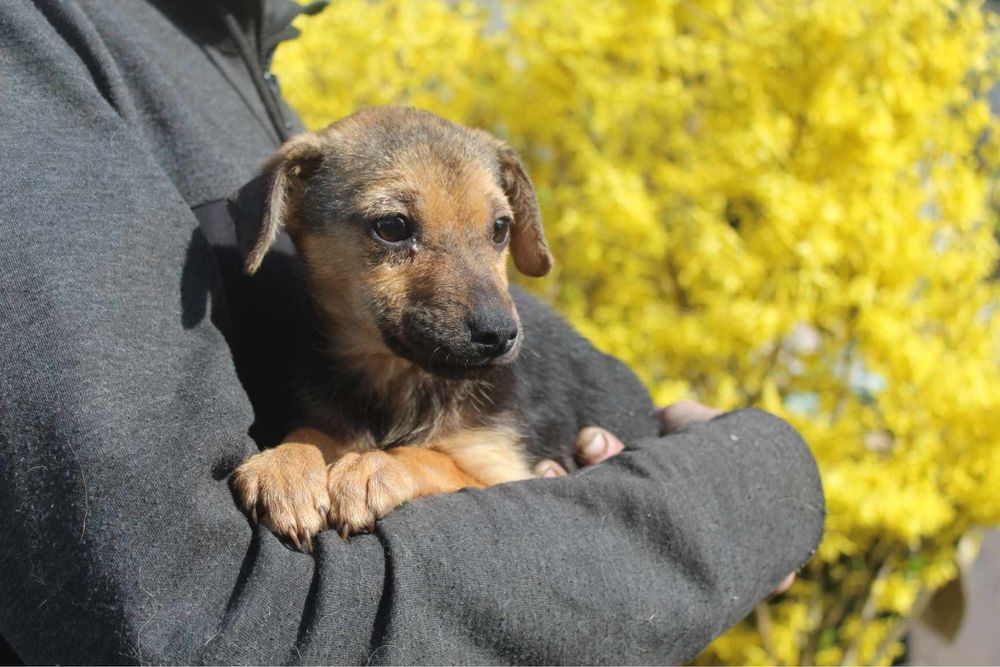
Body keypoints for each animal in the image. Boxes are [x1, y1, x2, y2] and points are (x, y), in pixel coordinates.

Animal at [230, 107, 660, 552]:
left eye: (501, 228)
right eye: (392, 226)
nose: (499, 334)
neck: (398, 382)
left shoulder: (500, 467)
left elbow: (431, 457)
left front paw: (369, 469)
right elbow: (311, 431)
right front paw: (286, 465)